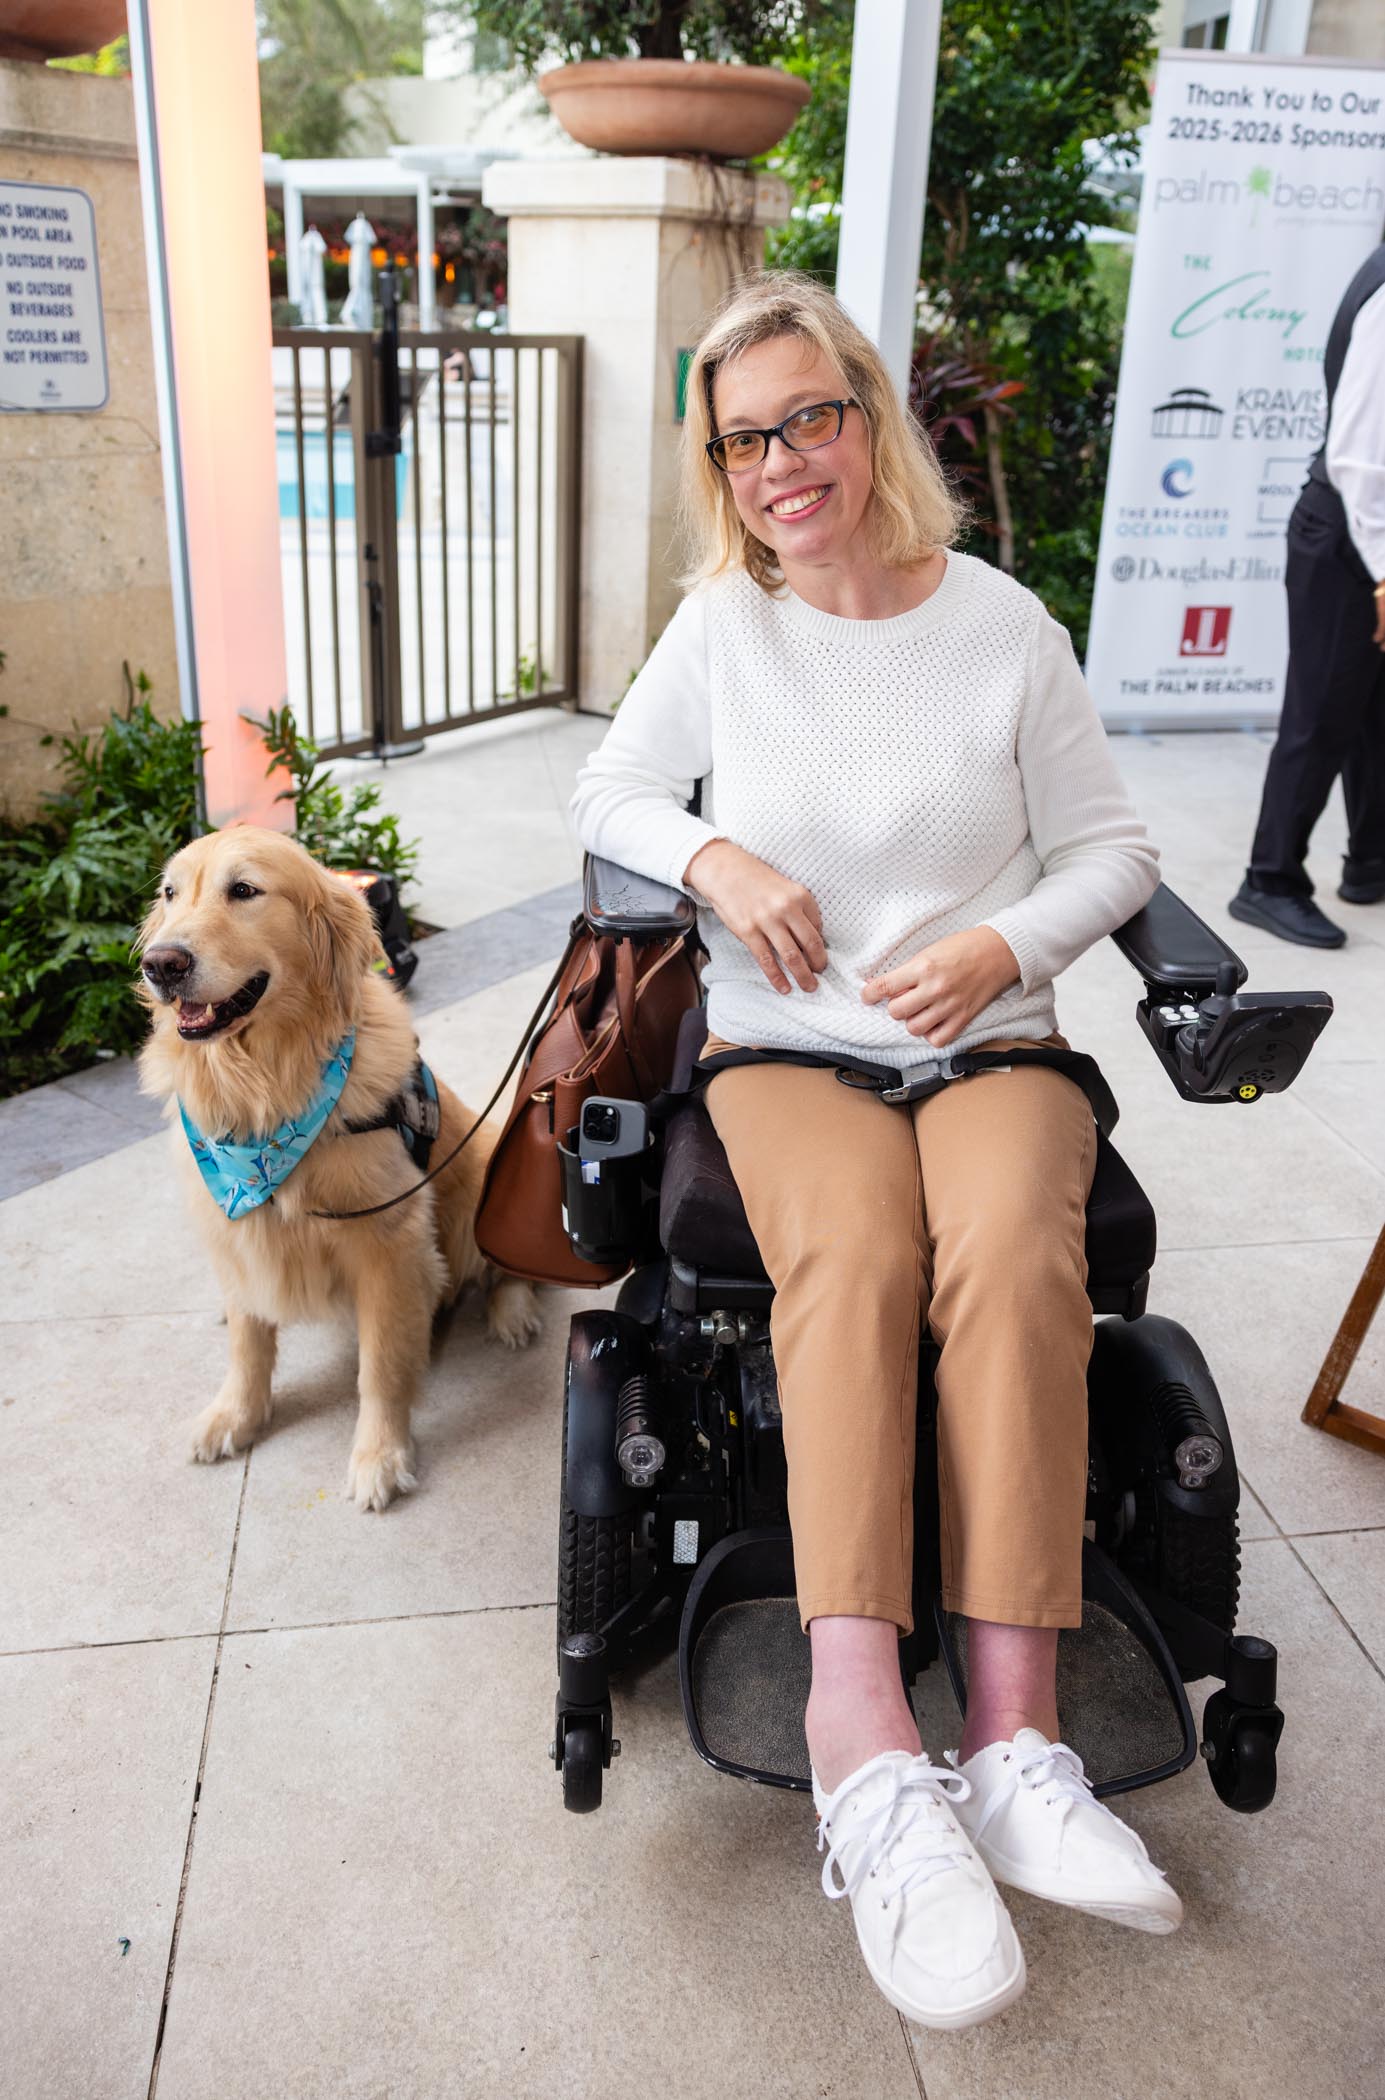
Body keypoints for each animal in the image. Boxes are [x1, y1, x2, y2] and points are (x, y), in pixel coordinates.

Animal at [137, 825, 541, 1511]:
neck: (263, 1096)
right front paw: (235, 1416)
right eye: (170, 894)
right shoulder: (235, 1226)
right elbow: (248, 1344)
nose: (162, 964)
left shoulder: (388, 1243)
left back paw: (512, 1312)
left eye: (244, 890)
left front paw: (381, 1456)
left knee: (506, 1265)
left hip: (487, 1165)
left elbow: (380, 1366)